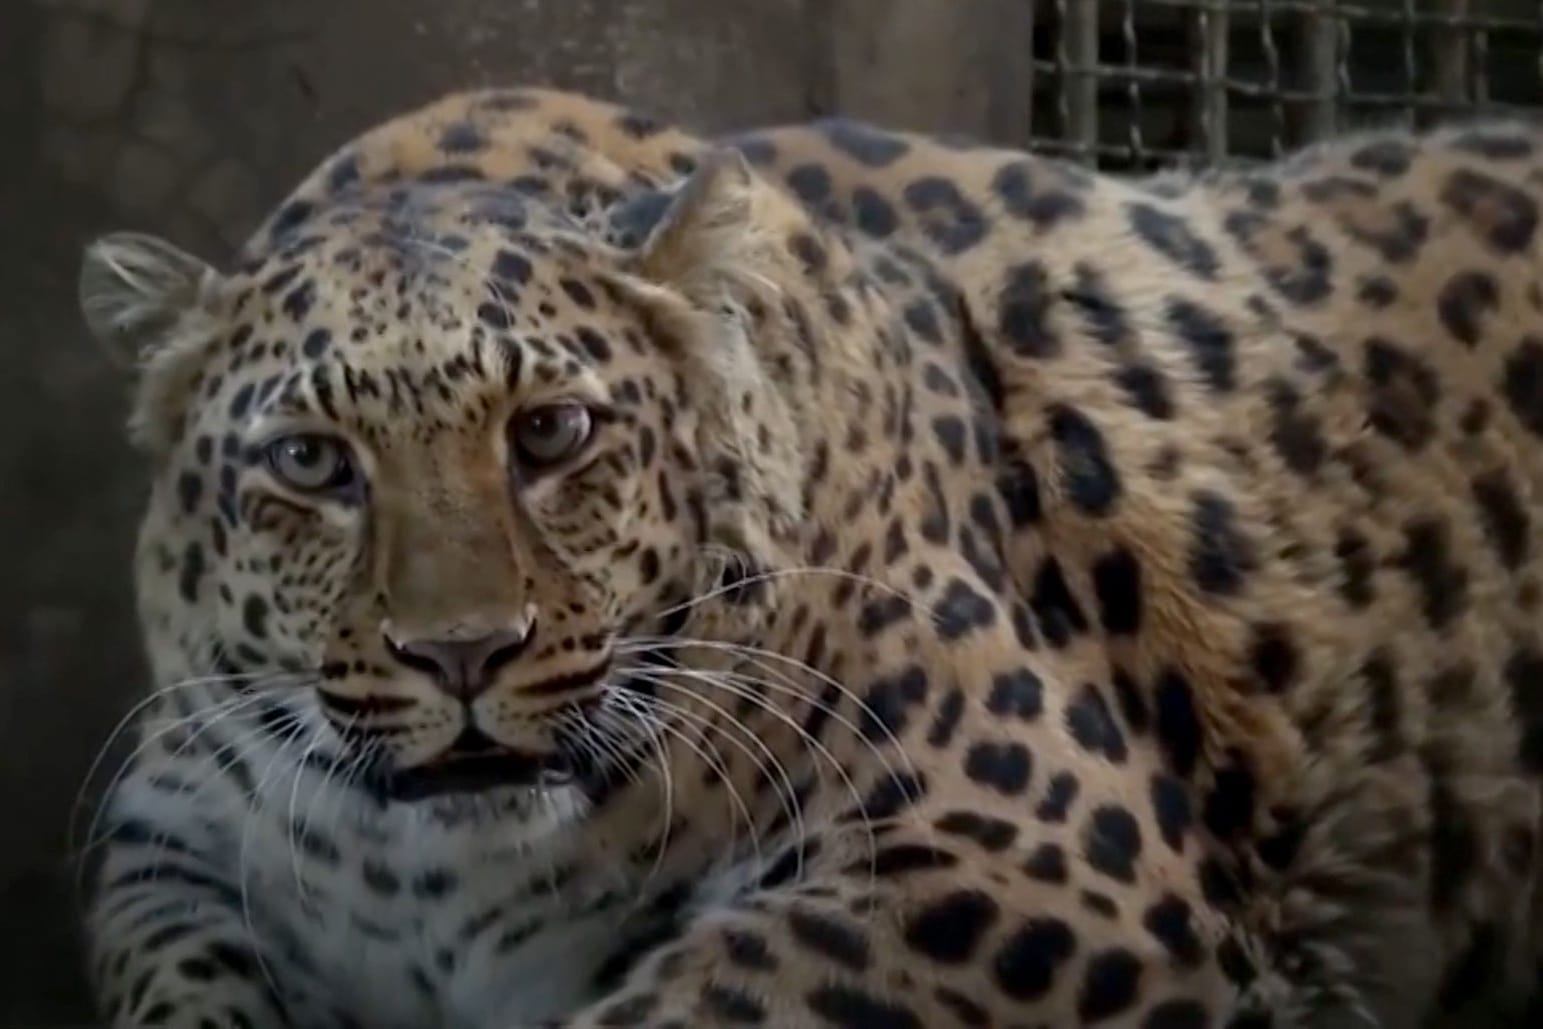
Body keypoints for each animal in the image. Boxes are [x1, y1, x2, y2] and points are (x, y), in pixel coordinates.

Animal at [75, 88, 1543, 1029]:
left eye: (550, 432)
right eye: (311, 462)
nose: (461, 654)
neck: (446, 879)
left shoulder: (1035, 854)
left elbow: (698, 1001)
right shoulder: (169, 834)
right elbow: (174, 977)